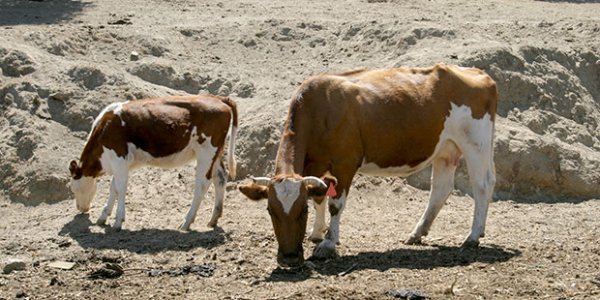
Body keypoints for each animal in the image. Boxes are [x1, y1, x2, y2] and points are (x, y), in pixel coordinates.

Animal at [69, 95, 238, 231]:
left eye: (74, 189)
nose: (80, 209)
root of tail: (219, 98)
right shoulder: (122, 164)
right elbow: (113, 188)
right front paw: (103, 217)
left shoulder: (119, 158)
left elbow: (120, 188)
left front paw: (118, 221)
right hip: (215, 154)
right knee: (220, 178)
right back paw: (213, 219)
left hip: (206, 152)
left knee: (202, 184)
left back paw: (186, 222)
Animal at [239, 63, 496, 268]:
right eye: (270, 210)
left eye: (301, 211)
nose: (289, 258)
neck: (319, 110)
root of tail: (478, 73)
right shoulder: (316, 166)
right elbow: (319, 196)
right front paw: (317, 233)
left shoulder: (345, 163)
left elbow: (335, 204)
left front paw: (328, 244)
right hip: (446, 150)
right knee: (441, 189)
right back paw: (418, 233)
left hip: (476, 143)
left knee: (482, 185)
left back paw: (472, 237)